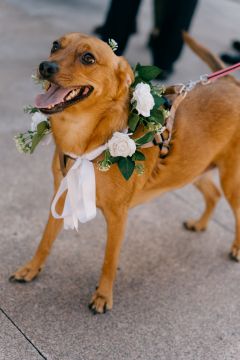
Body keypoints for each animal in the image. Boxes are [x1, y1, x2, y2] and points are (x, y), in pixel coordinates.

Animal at [10, 32, 240, 314]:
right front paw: (31, 269)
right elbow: (45, 240)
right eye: (55, 46)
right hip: (193, 169)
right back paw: (200, 224)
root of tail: (231, 81)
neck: (85, 141)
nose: (45, 66)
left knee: (235, 208)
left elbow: (109, 260)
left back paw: (236, 248)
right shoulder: (61, 195)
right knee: (213, 194)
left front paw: (103, 296)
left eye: (88, 58)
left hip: (230, 178)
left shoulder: (118, 217)